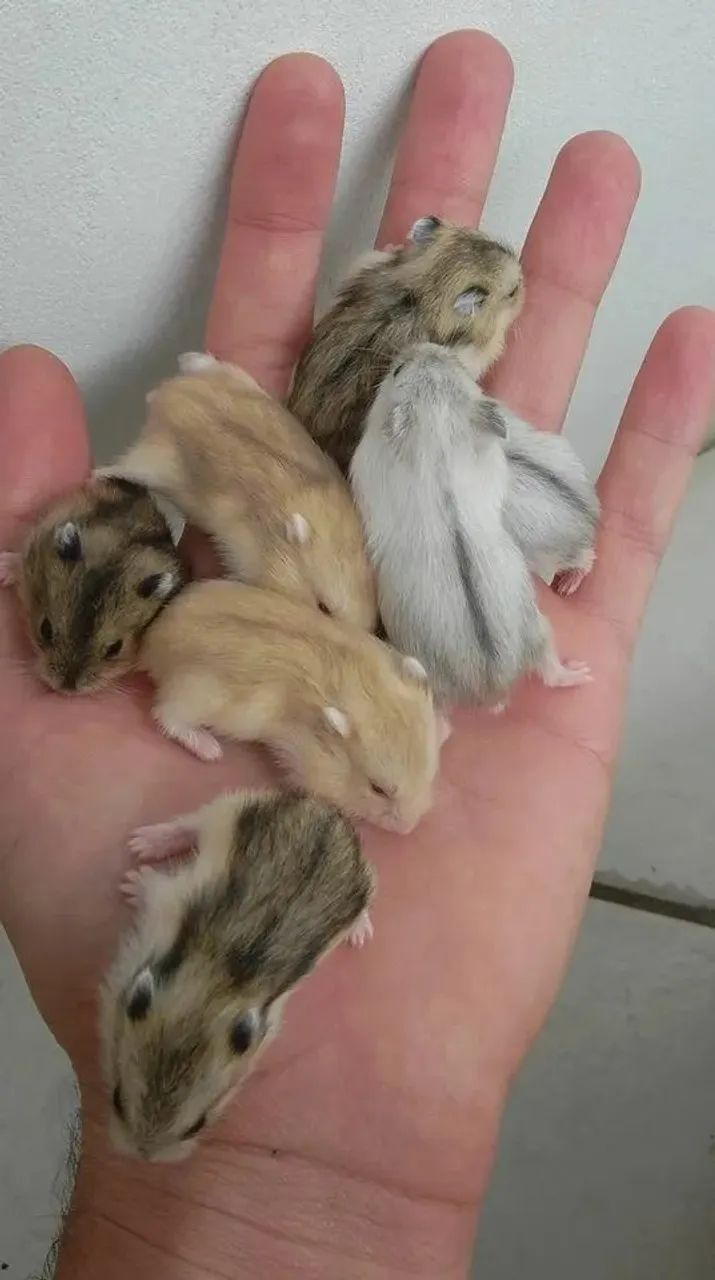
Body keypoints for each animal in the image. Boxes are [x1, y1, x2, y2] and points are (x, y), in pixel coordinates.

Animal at [100, 788, 375, 1162]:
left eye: (197, 1126)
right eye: (116, 1098)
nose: (143, 1157)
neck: (217, 986)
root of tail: (329, 809)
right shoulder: (167, 901)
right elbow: (154, 887)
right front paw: (132, 882)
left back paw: (361, 933)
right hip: (233, 808)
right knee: (190, 823)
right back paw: (143, 844)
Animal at [138, 579, 444, 833]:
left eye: (430, 776)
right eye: (378, 789)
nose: (408, 829)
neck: (363, 689)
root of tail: (151, 643)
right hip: (193, 696)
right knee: (165, 715)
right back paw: (210, 749)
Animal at [350, 344, 592, 706]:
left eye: (397, 371)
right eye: (459, 366)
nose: (420, 346)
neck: (437, 431)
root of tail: (496, 688)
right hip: (539, 628)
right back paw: (580, 673)